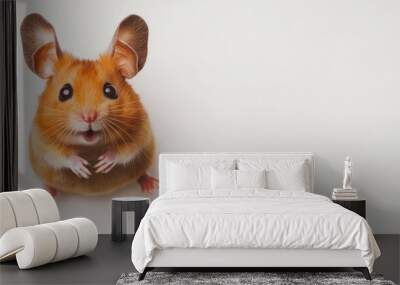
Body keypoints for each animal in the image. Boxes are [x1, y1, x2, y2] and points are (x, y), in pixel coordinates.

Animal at [20, 13, 158, 195]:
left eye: (110, 91)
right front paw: (84, 169)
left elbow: (126, 150)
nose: (89, 117)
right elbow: (59, 155)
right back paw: (49, 191)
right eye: (64, 92)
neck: (91, 147)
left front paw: (102, 164)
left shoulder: (140, 134)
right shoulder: (42, 142)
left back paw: (151, 186)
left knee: (141, 173)